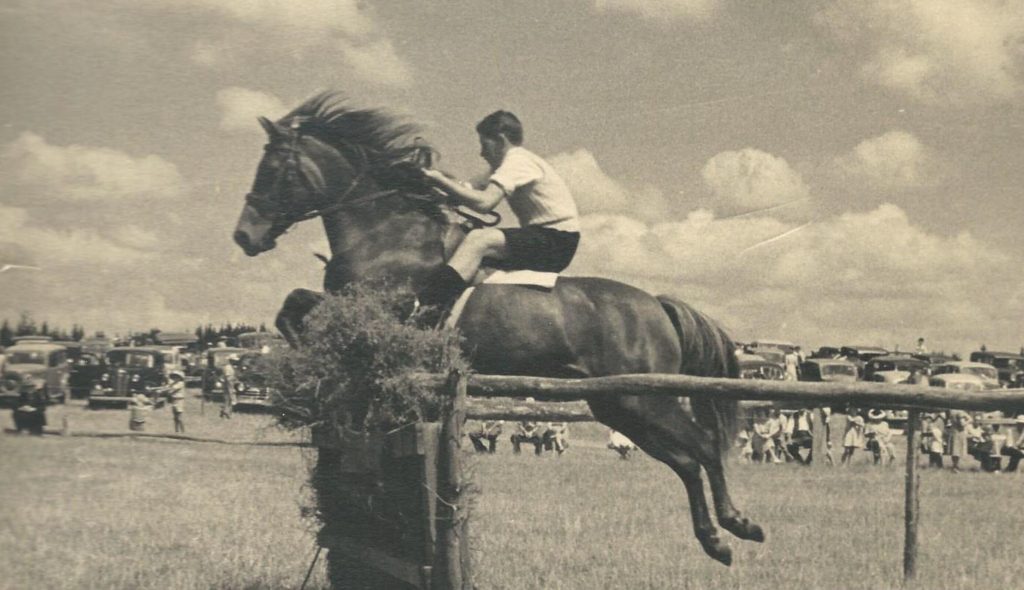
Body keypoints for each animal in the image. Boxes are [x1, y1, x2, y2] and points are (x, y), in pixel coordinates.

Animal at [232, 94, 761, 565]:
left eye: (272, 169)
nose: (244, 236)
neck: (384, 235)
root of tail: (656, 305)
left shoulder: (384, 310)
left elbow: (301, 317)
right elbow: (290, 310)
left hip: (644, 398)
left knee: (704, 448)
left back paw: (738, 523)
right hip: (618, 405)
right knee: (687, 462)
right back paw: (715, 541)